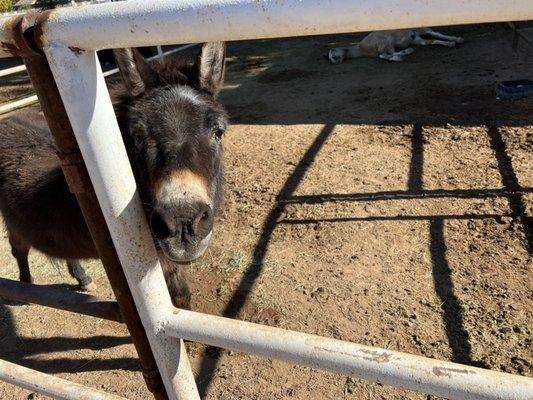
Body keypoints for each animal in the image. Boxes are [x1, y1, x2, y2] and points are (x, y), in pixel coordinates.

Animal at [326, 27, 464, 63]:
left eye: (332, 54)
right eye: (330, 58)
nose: (335, 61)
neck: (363, 48)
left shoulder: (384, 43)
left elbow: (384, 54)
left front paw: (402, 54)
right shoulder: (387, 48)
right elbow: (384, 55)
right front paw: (401, 55)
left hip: (420, 30)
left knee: (434, 33)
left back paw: (457, 39)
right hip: (418, 39)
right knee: (432, 41)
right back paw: (451, 43)